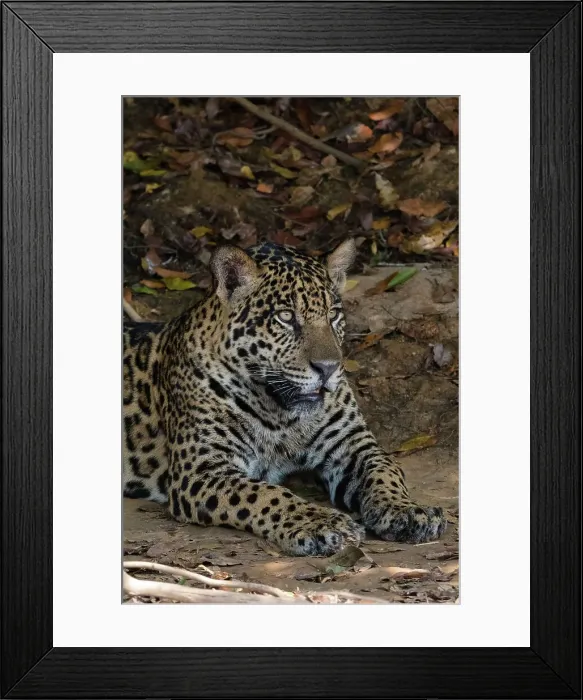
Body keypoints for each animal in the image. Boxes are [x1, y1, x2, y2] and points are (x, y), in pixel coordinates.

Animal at [123, 239, 446, 556]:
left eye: (333, 315)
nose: (328, 368)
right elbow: (266, 493)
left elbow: (385, 471)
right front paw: (321, 523)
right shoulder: (202, 469)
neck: (280, 411)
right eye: (286, 317)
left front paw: (408, 510)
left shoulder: (352, 444)